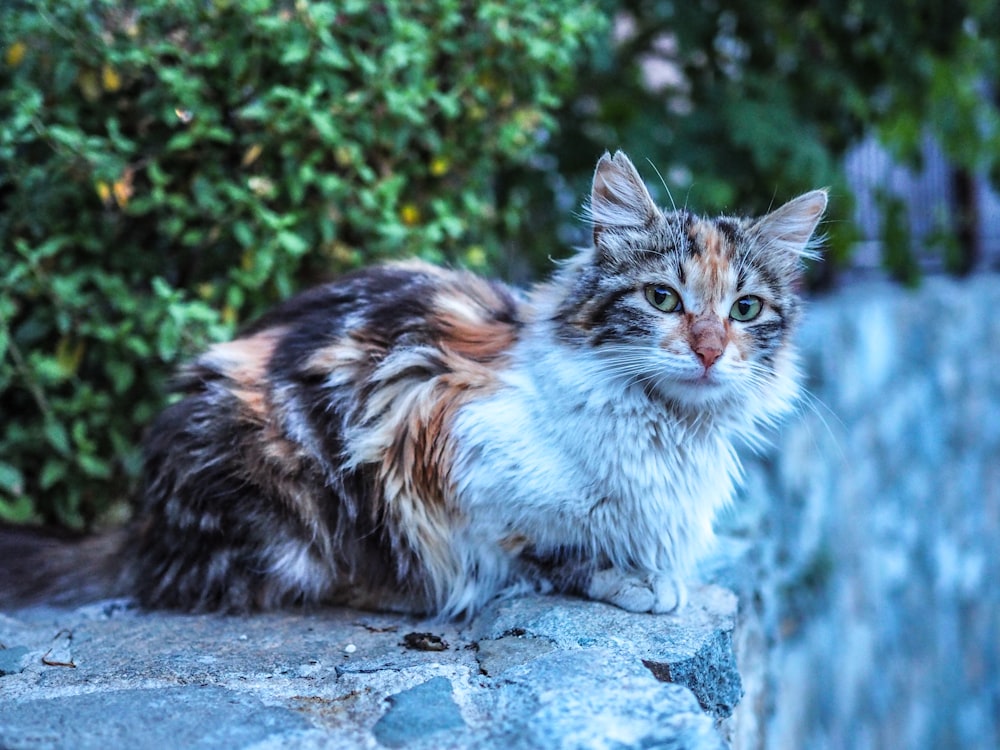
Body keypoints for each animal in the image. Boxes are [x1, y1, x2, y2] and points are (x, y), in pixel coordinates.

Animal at [0, 150, 828, 620]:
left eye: (745, 309)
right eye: (662, 298)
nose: (710, 350)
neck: (665, 431)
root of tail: (140, 520)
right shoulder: (444, 455)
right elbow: (551, 548)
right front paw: (634, 580)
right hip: (282, 498)